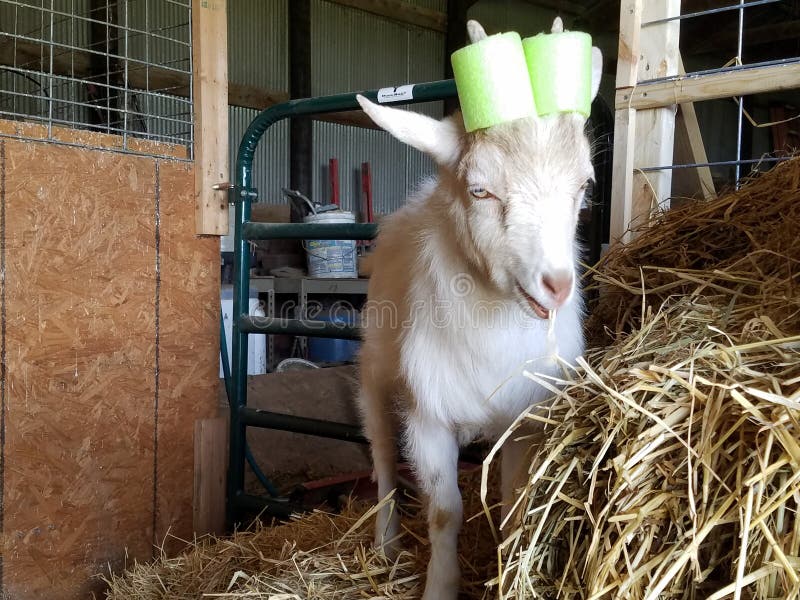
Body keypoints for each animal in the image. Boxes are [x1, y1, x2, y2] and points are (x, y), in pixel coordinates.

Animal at [356, 19, 602, 600]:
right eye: (481, 190)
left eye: (584, 184)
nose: (556, 285)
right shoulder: (427, 416)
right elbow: (445, 511)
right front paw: (441, 585)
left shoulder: (524, 419)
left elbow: (515, 508)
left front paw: (508, 571)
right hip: (375, 372)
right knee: (381, 454)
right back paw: (384, 542)